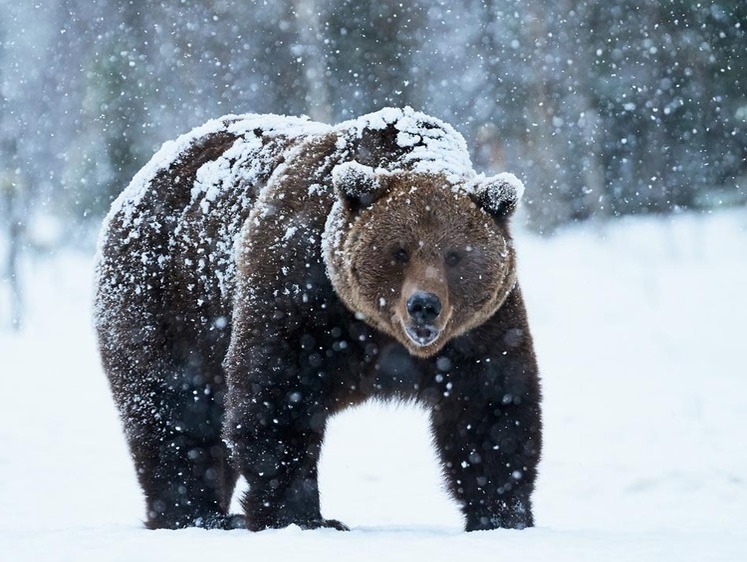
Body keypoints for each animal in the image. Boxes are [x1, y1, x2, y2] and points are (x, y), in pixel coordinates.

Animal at [95, 107, 544, 532]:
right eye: (399, 251)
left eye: (455, 255)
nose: (424, 305)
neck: (377, 330)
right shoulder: (299, 293)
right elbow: (277, 399)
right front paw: (302, 516)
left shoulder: (480, 329)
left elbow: (491, 407)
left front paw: (502, 515)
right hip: (166, 302)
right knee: (174, 411)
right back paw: (195, 514)